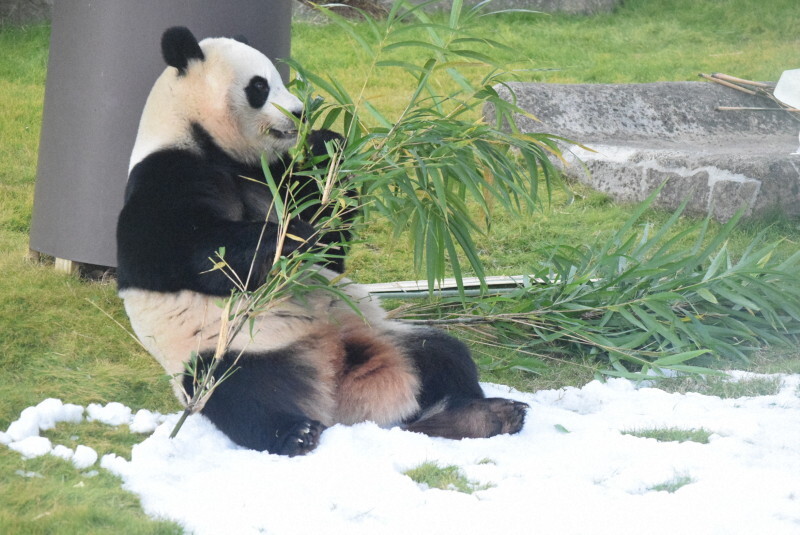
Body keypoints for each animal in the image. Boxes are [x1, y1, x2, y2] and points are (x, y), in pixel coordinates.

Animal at [115, 26, 528, 456]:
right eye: (260, 86)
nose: (300, 113)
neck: (214, 146)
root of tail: (336, 391)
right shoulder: (168, 171)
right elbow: (172, 251)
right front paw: (286, 244)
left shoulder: (273, 176)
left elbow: (330, 245)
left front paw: (328, 146)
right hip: (228, 349)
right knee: (240, 394)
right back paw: (295, 432)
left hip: (388, 336)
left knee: (443, 357)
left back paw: (486, 415)